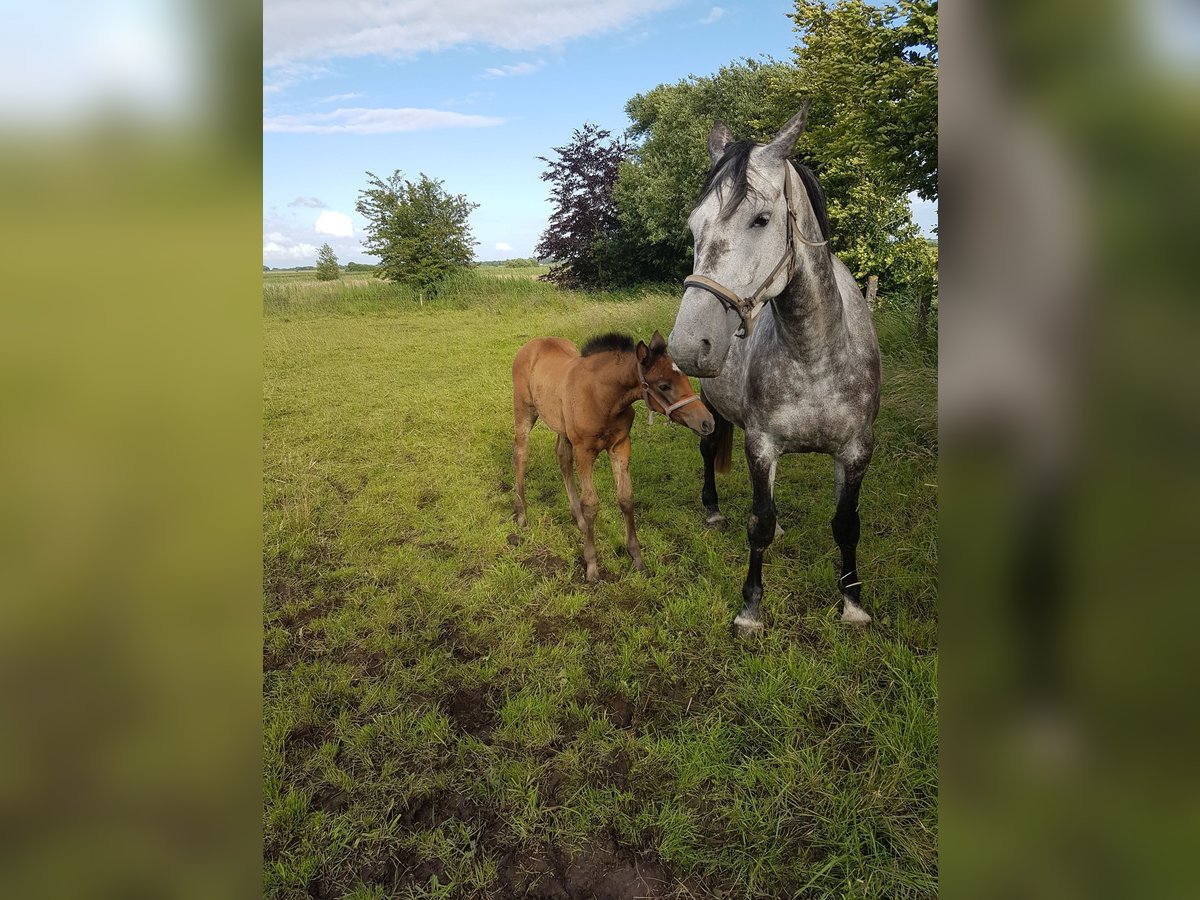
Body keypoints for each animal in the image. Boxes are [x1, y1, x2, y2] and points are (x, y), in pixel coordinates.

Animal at [508, 336, 710, 580]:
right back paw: (522, 514)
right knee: (521, 455)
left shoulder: (620, 446)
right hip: (524, 411)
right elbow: (591, 503)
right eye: (664, 385)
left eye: (686, 378)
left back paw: (579, 520)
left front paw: (637, 558)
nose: (707, 422)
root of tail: (532, 345)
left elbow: (626, 497)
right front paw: (591, 566)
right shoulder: (584, 451)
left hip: (563, 427)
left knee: (562, 458)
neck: (602, 398)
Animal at [667, 105, 883, 638]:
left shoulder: (856, 451)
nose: (687, 345)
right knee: (710, 451)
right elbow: (759, 523)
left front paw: (852, 603)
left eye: (761, 219)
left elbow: (846, 524)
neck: (815, 353)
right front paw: (750, 609)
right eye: (694, 226)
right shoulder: (760, 443)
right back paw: (712, 510)